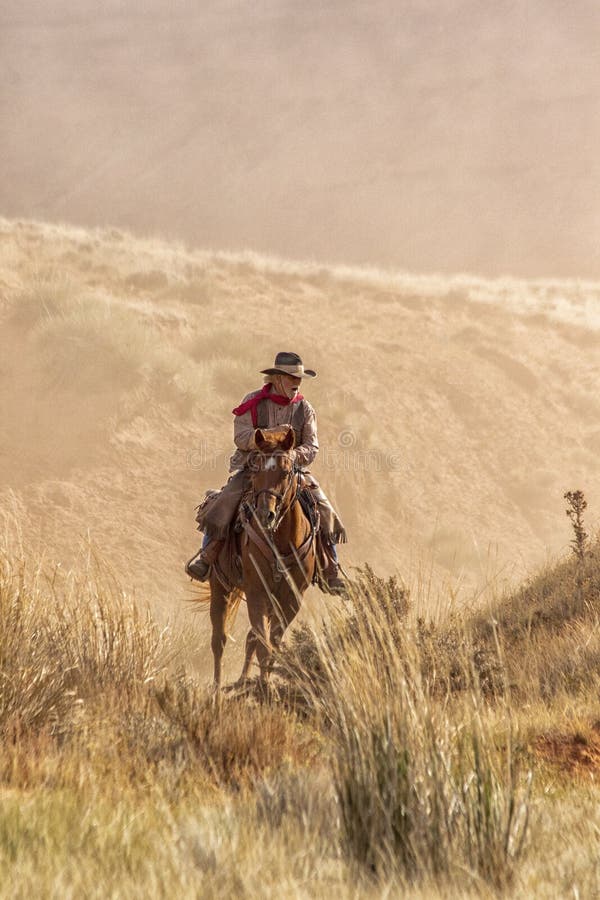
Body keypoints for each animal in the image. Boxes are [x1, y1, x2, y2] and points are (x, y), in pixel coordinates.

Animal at [209, 428, 316, 688]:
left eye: (286, 472)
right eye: (256, 470)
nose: (264, 514)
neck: (282, 541)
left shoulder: (292, 599)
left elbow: (271, 644)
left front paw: (264, 684)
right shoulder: (257, 592)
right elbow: (264, 645)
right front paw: (264, 687)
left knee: (250, 639)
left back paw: (242, 681)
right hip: (220, 586)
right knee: (219, 639)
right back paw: (217, 688)